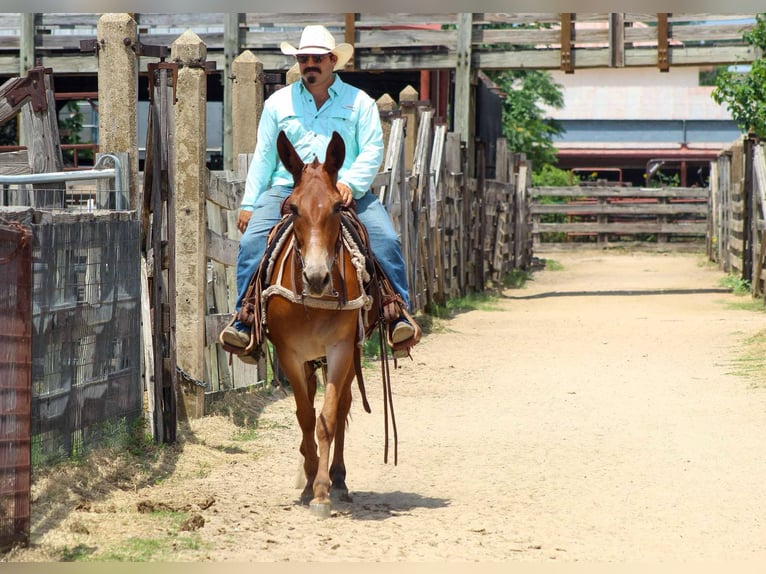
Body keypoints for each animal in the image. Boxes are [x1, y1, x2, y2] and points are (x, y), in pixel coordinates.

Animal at [263, 130, 384, 518]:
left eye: (335, 207)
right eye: (293, 207)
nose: (316, 277)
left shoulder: (341, 349)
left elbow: (328, 418)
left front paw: (322, 490)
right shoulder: (289, 353)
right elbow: (304, 416)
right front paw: (308, 481)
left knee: (343, 405)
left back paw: (338, 479)